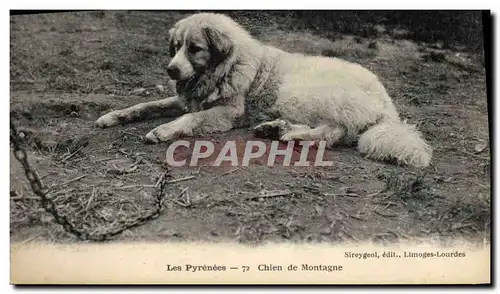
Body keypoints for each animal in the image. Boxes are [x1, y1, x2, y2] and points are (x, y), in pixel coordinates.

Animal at [95, 12, 432, 168]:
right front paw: (114, 116)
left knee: (335, 132)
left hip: (304, 91)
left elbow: (189, 119)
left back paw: (293, 135)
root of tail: (387, 102)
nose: (171, 69)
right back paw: (277, 128)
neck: (228, 65)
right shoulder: (187, 99)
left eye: (194, 49)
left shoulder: (227, 111)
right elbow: (146, 105)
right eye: (175, 47)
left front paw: (163, 130)